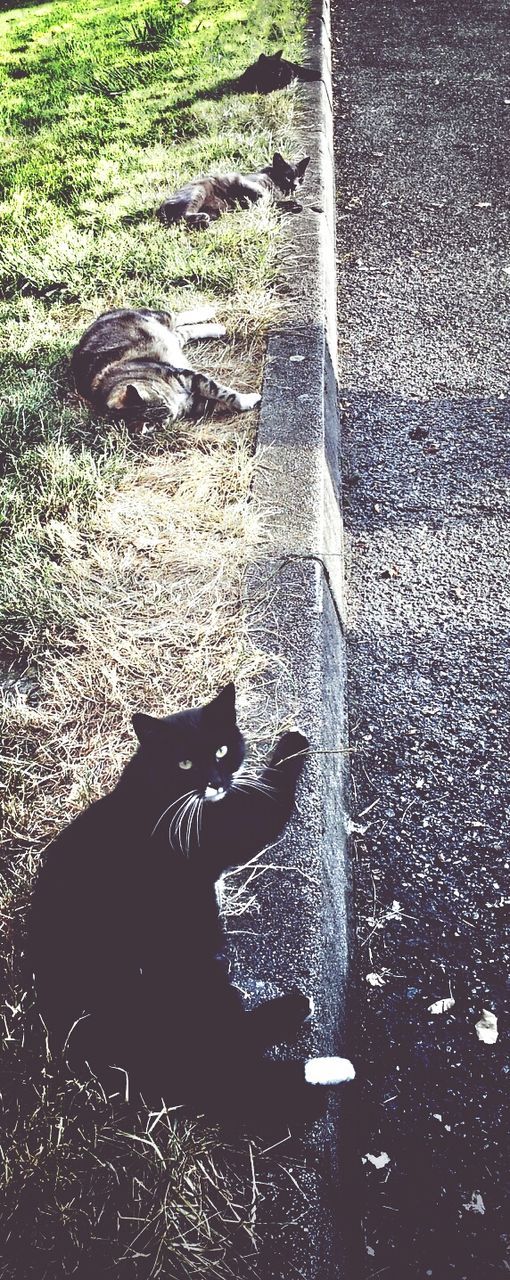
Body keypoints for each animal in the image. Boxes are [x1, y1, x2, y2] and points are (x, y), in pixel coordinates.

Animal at [25, 686, 353, 1126]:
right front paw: (293, 743)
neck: (159, 787)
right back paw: (308, 1043)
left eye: (220, 750)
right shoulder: (231, 828)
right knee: (224, 1063)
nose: (215, 783)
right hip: (182, 977)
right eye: (184, 763)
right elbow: (271, 800)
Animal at [71, 305, 258, 422]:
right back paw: (217, 328)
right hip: (173, 338)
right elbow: (215, 401)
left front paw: (248, 399)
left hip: (157, 318)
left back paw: (208, 312)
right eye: (165, 416)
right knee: (184, 330)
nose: (174, 409)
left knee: (176, 316)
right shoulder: (192, 402)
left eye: (160, 397)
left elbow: (222, 392)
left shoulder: (186, 376)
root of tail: (98, 319)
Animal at [157, 151, 311, 229]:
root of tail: (159, 208)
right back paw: (202, 219)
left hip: (218, 210)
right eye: (288, 176)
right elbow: (265, 197)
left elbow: (274, 203)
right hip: (197, 193)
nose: (295, 185)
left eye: (300, 177)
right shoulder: (245, 181)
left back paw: (202, 223)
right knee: (181, 217)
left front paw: (294, 204)